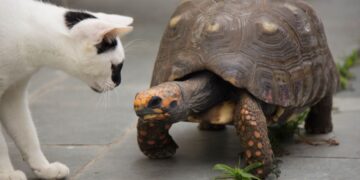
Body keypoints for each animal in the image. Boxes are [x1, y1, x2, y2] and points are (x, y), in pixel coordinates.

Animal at [0, 0, 134, 179]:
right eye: (114, 66)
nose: (119, 82)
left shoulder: (13, 94)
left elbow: (27, 135)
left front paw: (44, 168)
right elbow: (1, 145)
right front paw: (6, 174)